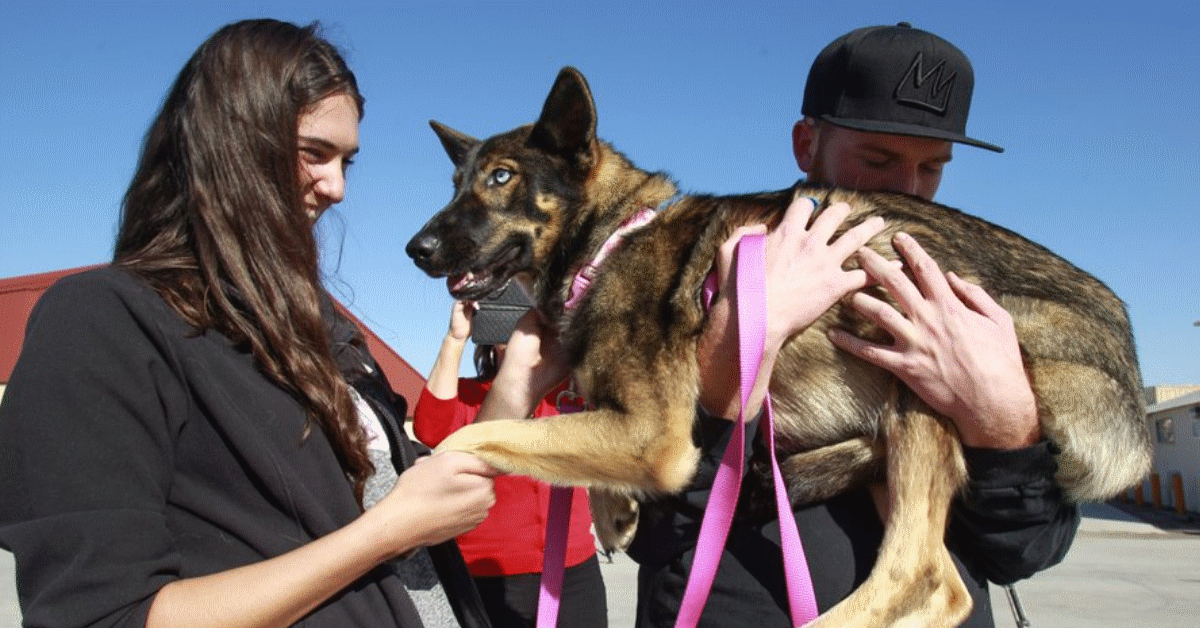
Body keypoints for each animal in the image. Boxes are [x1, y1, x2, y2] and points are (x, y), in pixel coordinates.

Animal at [405, 68, 1152, 628]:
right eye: (456, 183)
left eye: (502, 178)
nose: (418, 248)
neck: (613, 238)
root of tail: (1124, 353)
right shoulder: (627, 425)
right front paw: (613, 508)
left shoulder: (654, 435)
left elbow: (470, 438)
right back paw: (782, 479)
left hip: (924, 350)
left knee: (928, 579)